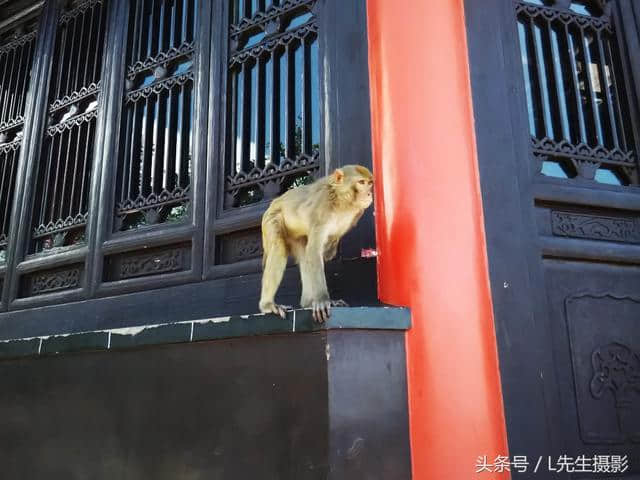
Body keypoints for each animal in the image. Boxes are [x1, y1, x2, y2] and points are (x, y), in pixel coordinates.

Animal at [260, 165, 376, 322]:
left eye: (370, 183)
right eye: (361, 182)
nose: (369, 193)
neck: (342, 201)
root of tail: (273, 203)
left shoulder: (355, 214)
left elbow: (323, 253)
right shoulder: (323, 207)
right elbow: (314, 251)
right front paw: (322, 300)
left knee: (304, 255)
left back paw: (308, 303)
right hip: (271, 219)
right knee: (280, 248)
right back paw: (268, 305)